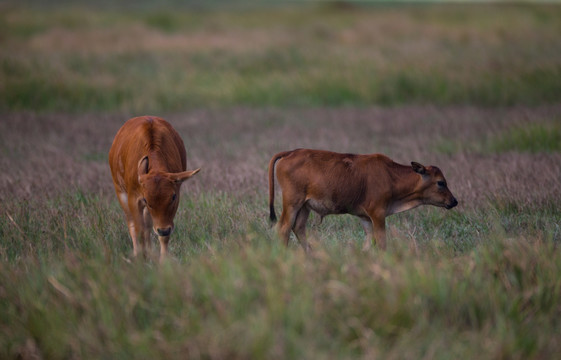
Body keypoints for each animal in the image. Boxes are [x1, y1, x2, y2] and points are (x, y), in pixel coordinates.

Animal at [266, 148, 456, 252]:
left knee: (298, 228)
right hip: (292, 204)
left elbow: (369, 242)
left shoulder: (365, 218)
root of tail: (291, 152)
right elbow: (381, 243)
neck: (390, 175)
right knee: (283, 228)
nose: (454, 201)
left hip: (304, 207)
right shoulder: (378, 215)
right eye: (440, 182)